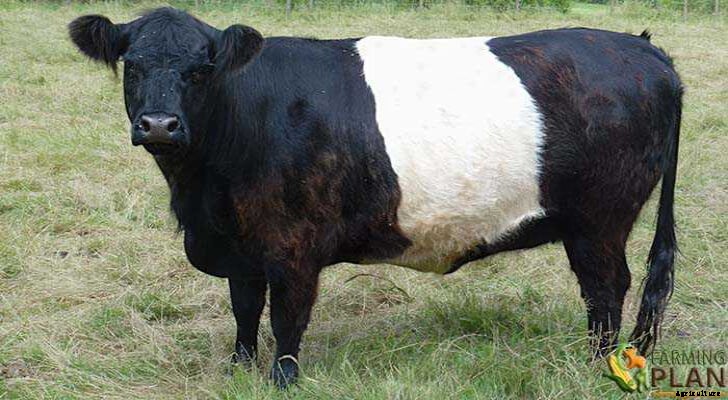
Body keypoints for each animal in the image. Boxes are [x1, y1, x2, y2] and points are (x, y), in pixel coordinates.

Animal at [69, 7, 682, 388]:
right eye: (131, 65)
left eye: (202, 69)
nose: (159, 124)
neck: (202, 195)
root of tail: (642, 48)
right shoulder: (241, 247)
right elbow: (244, 311)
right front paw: (239, 371)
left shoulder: (293, 248)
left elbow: (287, 320)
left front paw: (281, 381)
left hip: (599, 221)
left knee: (606, 290)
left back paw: (596, 363)